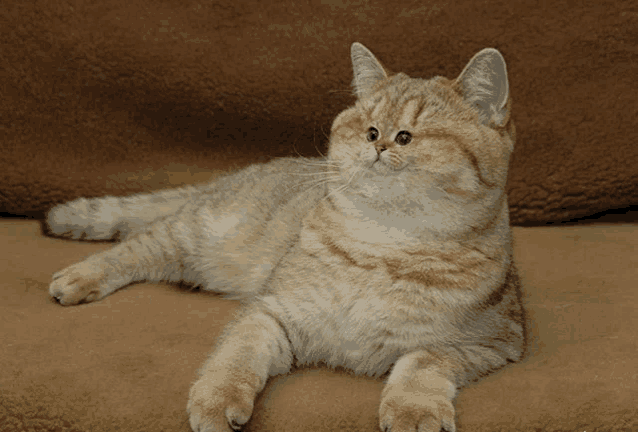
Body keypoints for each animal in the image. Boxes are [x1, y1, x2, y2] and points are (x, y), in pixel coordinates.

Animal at [46, 41, 524, 432]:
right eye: (368, 128)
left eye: (410, 134)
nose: (379, 143)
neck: (383, 247)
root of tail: (229, 178)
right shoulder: (271, 311)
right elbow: (237, 355)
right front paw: (217, 398)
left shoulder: (490, 342)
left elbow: (424, 363)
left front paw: (414, 410)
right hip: (192, 235)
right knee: (135, 245)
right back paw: (80, 277)